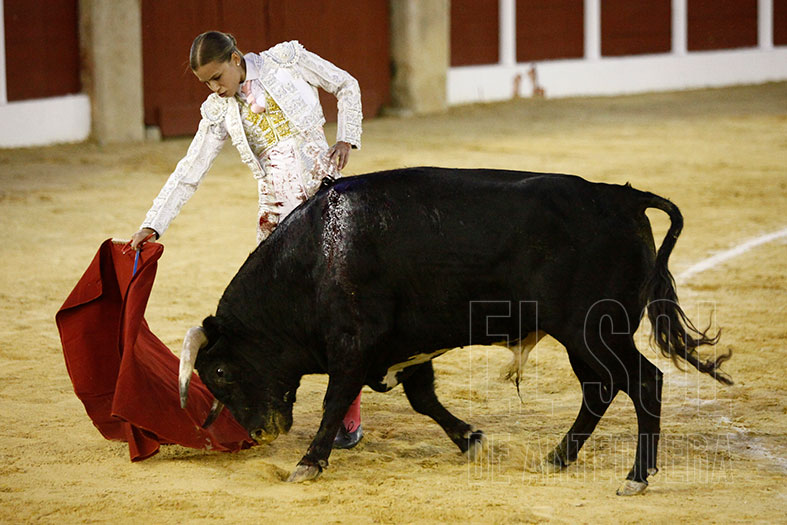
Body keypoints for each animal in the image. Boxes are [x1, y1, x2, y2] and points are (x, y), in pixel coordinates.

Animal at [178, 167, 732, 495]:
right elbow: (423, 398)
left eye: (220, 371)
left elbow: (336, 401)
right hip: (583, 339)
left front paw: (308, 463)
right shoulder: (405, 348)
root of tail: (623, 199)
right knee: (601, 389)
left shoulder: (354, 345)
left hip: (595, 330)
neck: (315, 258)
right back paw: (556, 459)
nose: (261, 432)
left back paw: (634, 478)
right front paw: (471, 439)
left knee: (642, 383)